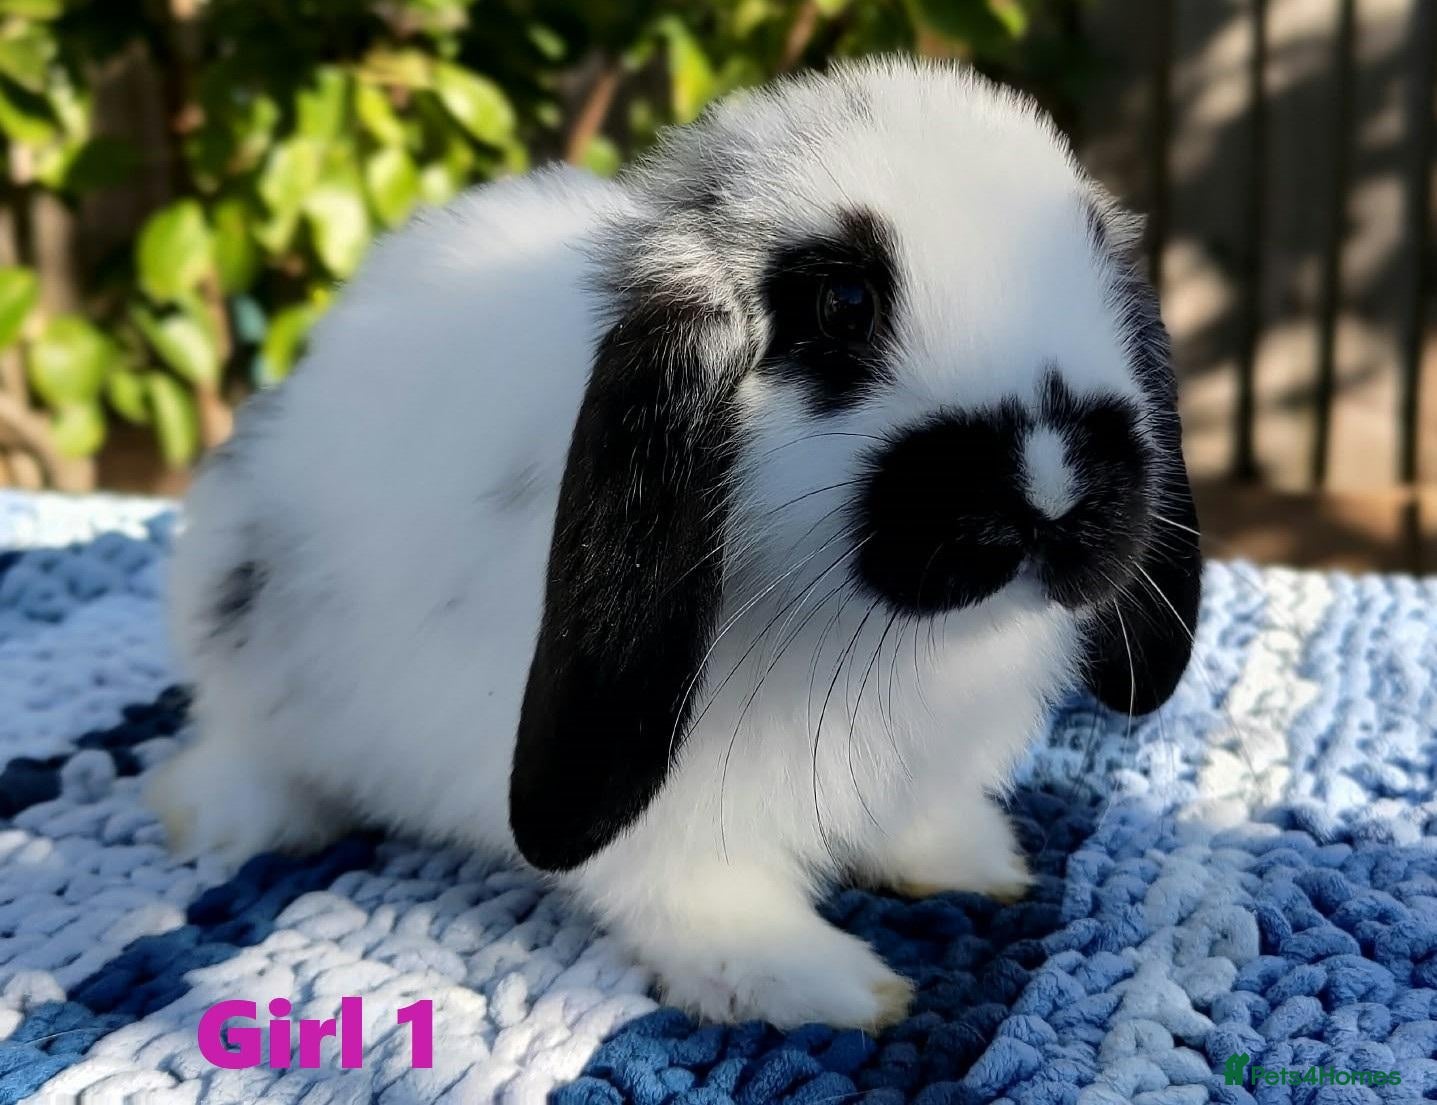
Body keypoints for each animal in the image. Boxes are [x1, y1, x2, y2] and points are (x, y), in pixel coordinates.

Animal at [147, 56, 1201, 1030]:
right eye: (843, 305)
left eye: (1098, 277)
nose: (1052, 489)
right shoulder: (671, 809)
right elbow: (702, 899)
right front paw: (822, 982)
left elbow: (916, 822)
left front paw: (970, 861)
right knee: (246, 738)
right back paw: (219, 813)